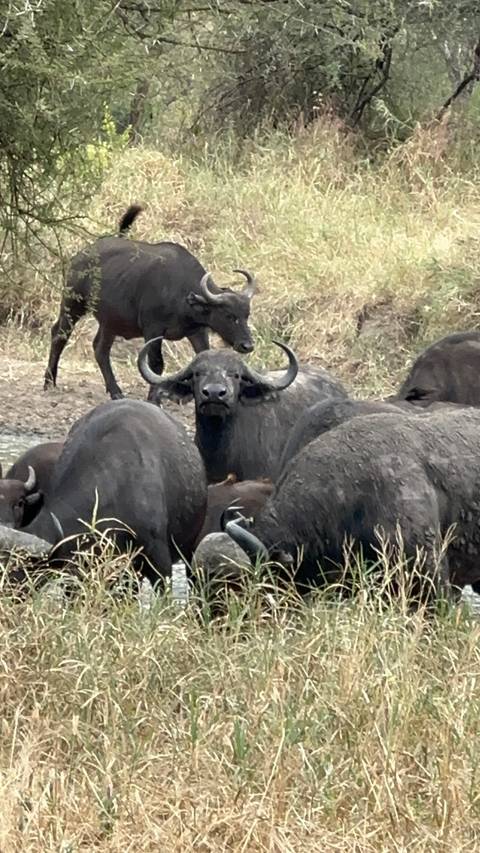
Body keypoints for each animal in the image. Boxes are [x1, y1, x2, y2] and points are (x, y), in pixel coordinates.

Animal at [44, 204, 257, 400]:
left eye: (246, 315)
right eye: (229, 315)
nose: (247, 345)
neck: (180, 292)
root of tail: (80, 256)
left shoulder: (197, 332)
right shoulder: (153, 329)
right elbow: (155, 365)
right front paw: (154, 398)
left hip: (110, 321)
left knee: (100, 349)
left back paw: (115, 391)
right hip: (73, 304)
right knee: (59, 334)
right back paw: (49, 381)